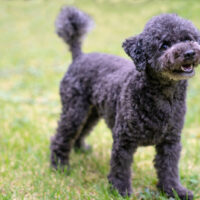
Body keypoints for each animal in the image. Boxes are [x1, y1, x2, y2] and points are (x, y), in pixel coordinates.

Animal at [50, 7, 200, 199]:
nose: (189, 53)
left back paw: (80, 148)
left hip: (92, 111)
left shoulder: (170, 141)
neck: (162, 96)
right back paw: (59, 166)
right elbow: (121, 169)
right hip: (74, 110)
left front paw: (174, 191)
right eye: (164, 45)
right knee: (61, 136)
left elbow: (169, 169)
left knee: (82, 130)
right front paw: (121, 191)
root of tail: (79, 57)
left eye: (188, 38)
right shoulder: (124, 140)